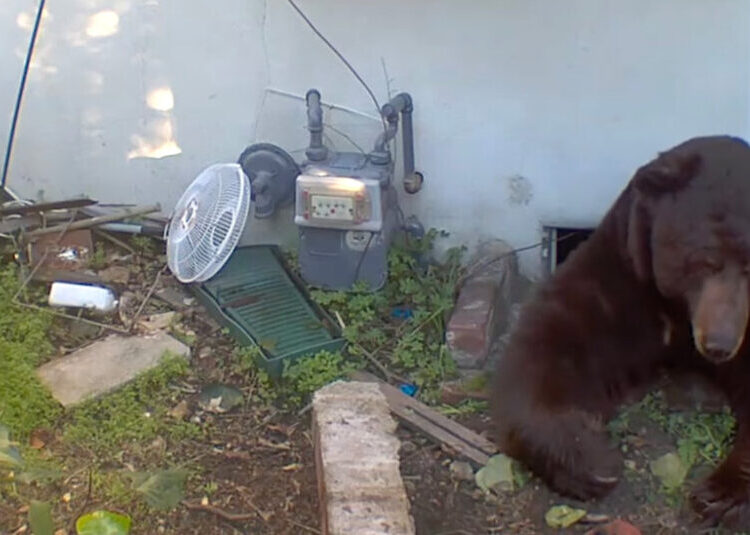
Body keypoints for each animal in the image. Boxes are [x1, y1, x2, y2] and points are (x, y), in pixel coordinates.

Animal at [492, 135, 750, 529]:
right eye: (705, 260)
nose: (719, 344)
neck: (679, 311)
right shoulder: (622, 280)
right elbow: (547, 346)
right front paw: (591, 460)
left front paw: (718, 495)